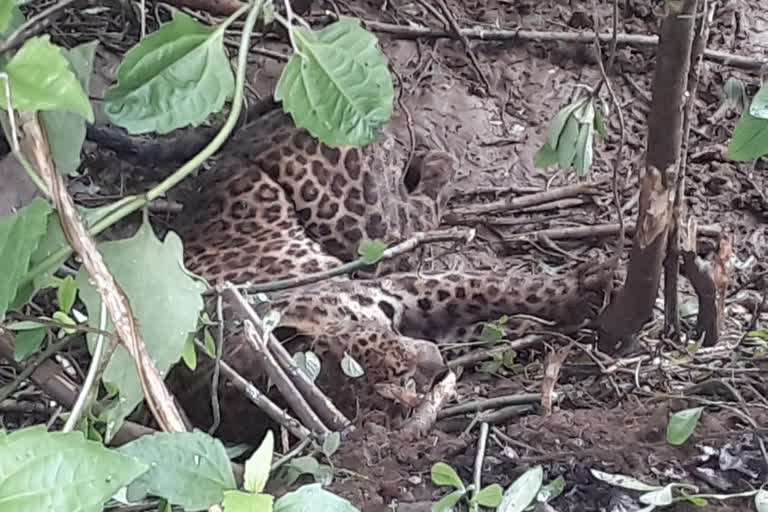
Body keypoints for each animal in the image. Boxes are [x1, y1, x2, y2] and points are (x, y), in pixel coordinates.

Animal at [170, 101, 616, 440]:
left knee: (414, 209)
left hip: (369, 230)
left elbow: (488, 287)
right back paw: (435, 162)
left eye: (395, 356)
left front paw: (580, 289)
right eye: (404, 387)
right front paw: (535, 328)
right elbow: (476, 322)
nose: (435, 365)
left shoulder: (397, 288)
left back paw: (435, 160)